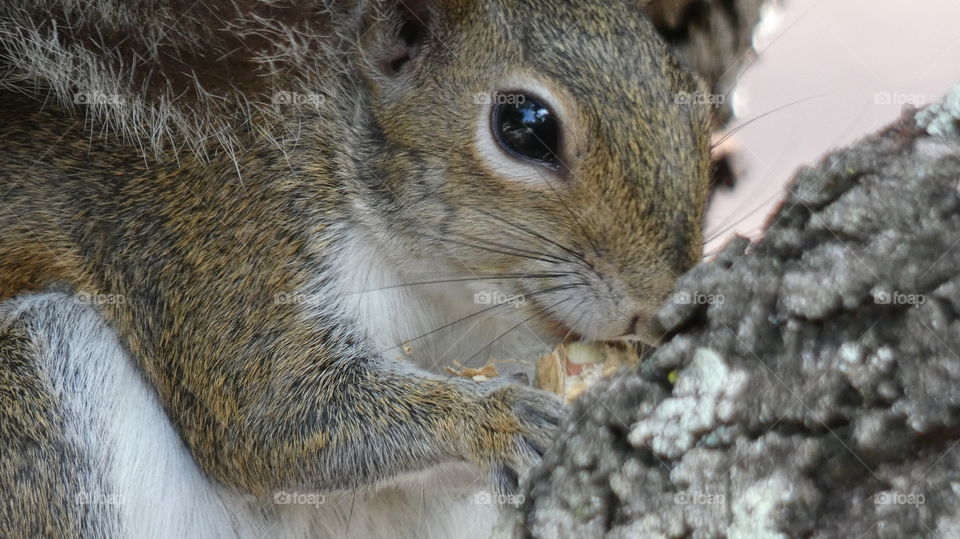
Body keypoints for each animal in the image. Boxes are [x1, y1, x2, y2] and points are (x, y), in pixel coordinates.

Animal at [0, 0, 711, 537]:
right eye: (524, 126)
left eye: (704, 106)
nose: (652, 306)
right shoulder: (223, 241)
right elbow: (275, 407)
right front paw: (497, 418)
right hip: (29, 391)